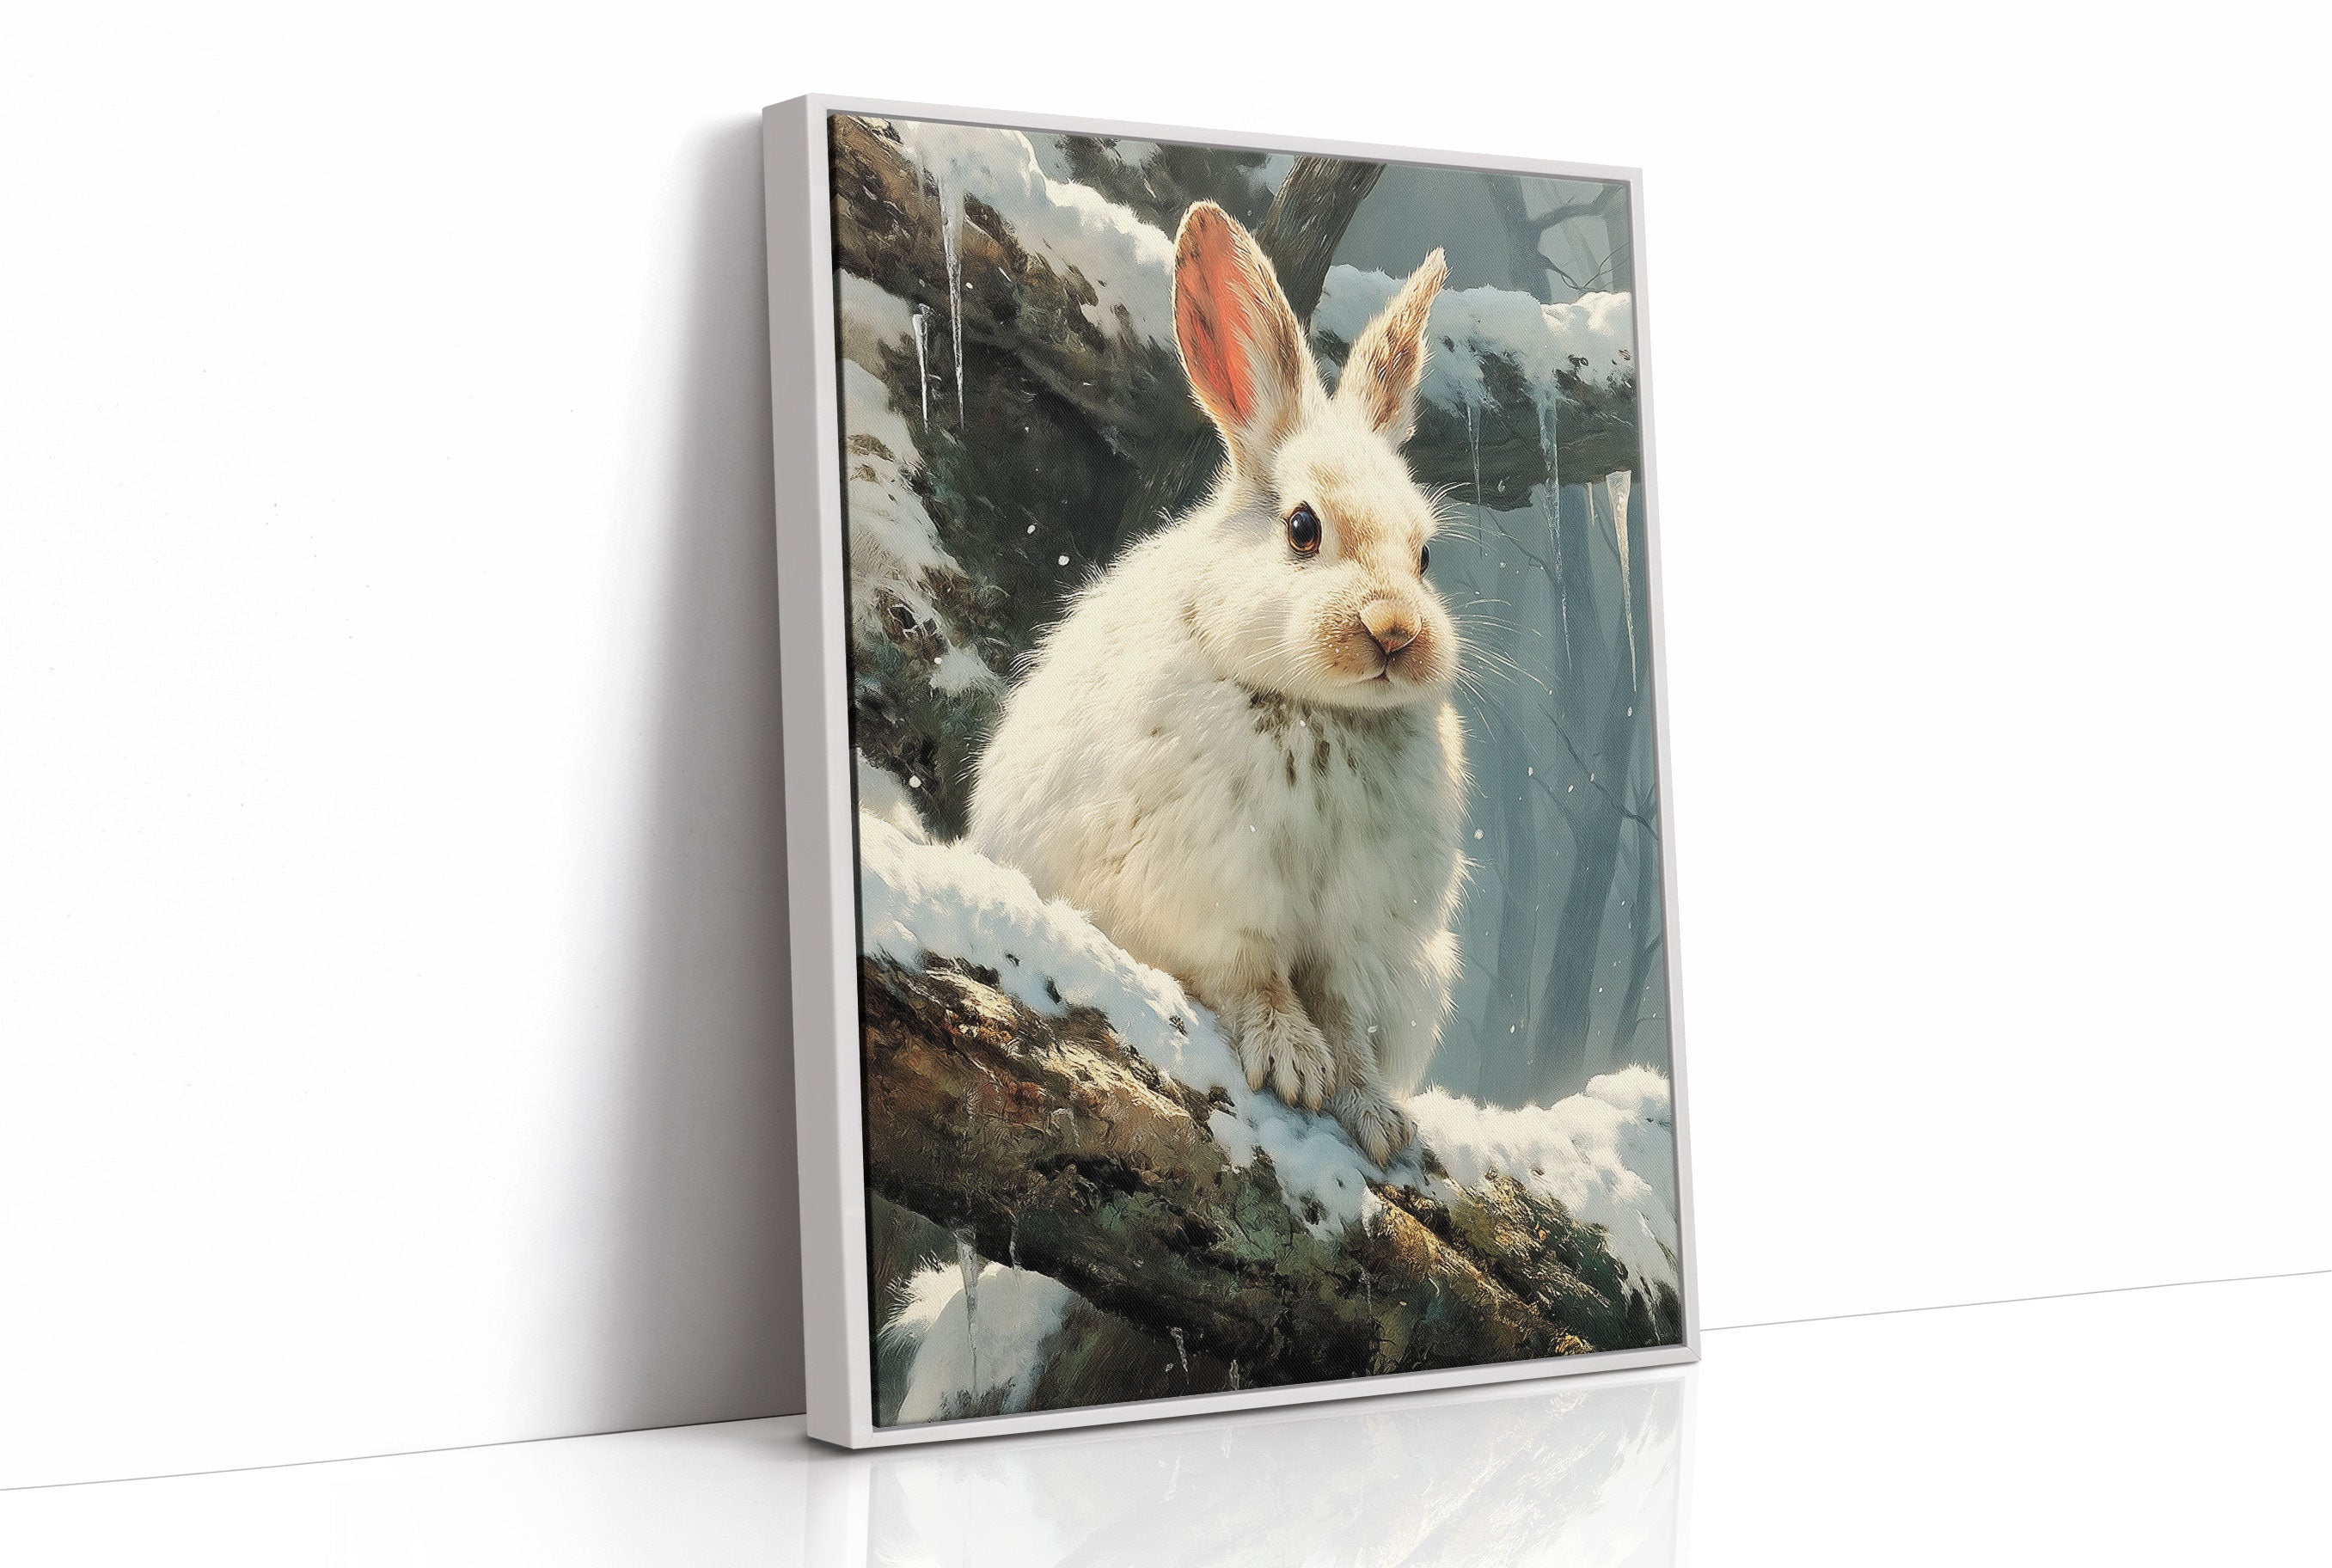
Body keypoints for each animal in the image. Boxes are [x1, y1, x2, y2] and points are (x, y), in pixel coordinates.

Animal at [965, 201, 1466, 1166]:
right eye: (1303, 529)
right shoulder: (1214, 899)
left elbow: (1347, 1024)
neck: (1318, 711)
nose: (1396, 632)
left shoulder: (1357, 942)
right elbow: (1256, 981)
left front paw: (1375, 1116)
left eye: (1426, 556)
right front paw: (1293, 1065)